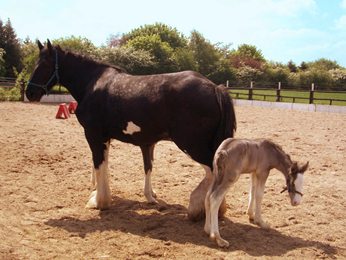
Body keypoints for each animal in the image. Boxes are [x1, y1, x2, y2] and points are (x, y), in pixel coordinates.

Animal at [25, 39, 237, 220]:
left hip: (191, 145)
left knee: (212, 171)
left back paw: (197, 207)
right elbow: (105, 166)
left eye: (44, 65)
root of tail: (214, 88)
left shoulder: (93, 136)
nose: (30, 93)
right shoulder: (105, 138)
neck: (92, 84)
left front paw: (100, 201)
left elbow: (99, 166)